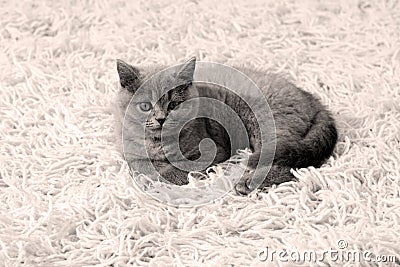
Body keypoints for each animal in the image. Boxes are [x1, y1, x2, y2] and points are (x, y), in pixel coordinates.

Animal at [113, 57, 338, 196]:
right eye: (145, 106)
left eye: (173, 105)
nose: (161, 119)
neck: (159, 143)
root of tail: (311, 99)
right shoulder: (129, 152)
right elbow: (141, 165)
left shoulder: (214, 150)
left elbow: (179, 168)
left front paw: (163, 177)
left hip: (267, 123)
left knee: (287, 163)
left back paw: (249, 181)